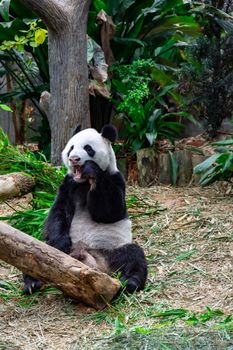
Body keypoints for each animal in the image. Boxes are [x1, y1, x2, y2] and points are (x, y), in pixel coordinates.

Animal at [23, 124, 147, 294]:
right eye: (71, 147)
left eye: (88, 148)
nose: (74, 158)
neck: (83, 182)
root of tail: (92, 263)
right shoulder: (69, 184)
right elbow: (59, 212)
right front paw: (61, 242)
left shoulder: (116, 179)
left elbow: (110, 212)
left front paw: (91, 169)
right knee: (34, 254)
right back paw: (32, 283)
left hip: (110, 252)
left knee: (134, 256)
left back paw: (129, 283)